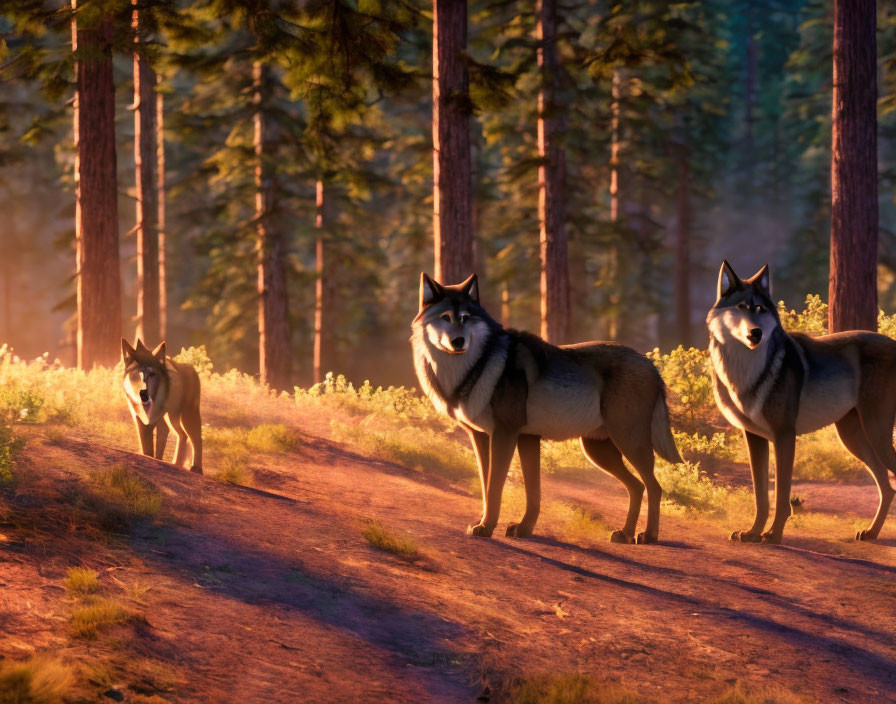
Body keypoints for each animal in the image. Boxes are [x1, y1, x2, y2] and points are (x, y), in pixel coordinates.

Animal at [119, 340, 201, 472]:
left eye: (152, 374)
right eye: (137, 374)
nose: (143, 393)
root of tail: (189, 367)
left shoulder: (155, 421)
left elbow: (153, 449)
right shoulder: (140, 420)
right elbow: (148, 448)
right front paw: (154, 459)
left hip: (184, 417)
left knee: (196, 439)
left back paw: (197, 468)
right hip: (172, 419)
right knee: (183, 435)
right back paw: (176, 463)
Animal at [408, 272, 680, 540]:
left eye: (465, 318)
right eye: (445, 318)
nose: (458, 341)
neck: (476, 366)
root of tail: (651, 365)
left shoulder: (505, 434)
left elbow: (496, 487)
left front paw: (486, 528)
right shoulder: (497, 437)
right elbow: (510, 489)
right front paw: (519, 528)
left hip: (628, 442)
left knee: (654, 487)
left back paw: (648, 535)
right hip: (598, 451)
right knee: (637, 486)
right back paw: (625, 533)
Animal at [708, 262, 896, 544]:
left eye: (760, 309)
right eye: (741, 307)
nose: (756, 333)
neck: (747, 369)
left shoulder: (785, 435)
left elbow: (781, 494)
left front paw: (773, 534)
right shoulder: (755, 438)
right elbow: (761, 496)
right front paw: (753, 533)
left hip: (875, 433)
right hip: (853, 439)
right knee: (886, 486)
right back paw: (870, 532)